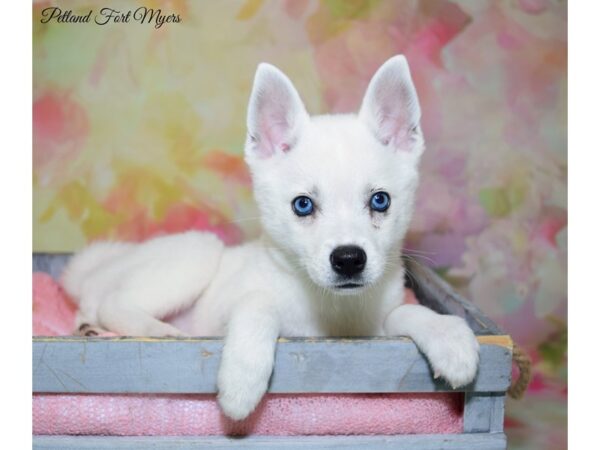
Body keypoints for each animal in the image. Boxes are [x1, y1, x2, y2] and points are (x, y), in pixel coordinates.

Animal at [63, 56, 480, 422]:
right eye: (303, 205)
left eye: (380, 201)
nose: (348, 259)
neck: (329, 308)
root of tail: (99, 267)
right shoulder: (230, 309)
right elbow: (258, 307)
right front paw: (243, 379)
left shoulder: (378, 328)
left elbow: (408, 312)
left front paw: (449, 336)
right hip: (198, 253)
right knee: (113, 302)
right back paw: (158, 331)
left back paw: (91, 330)